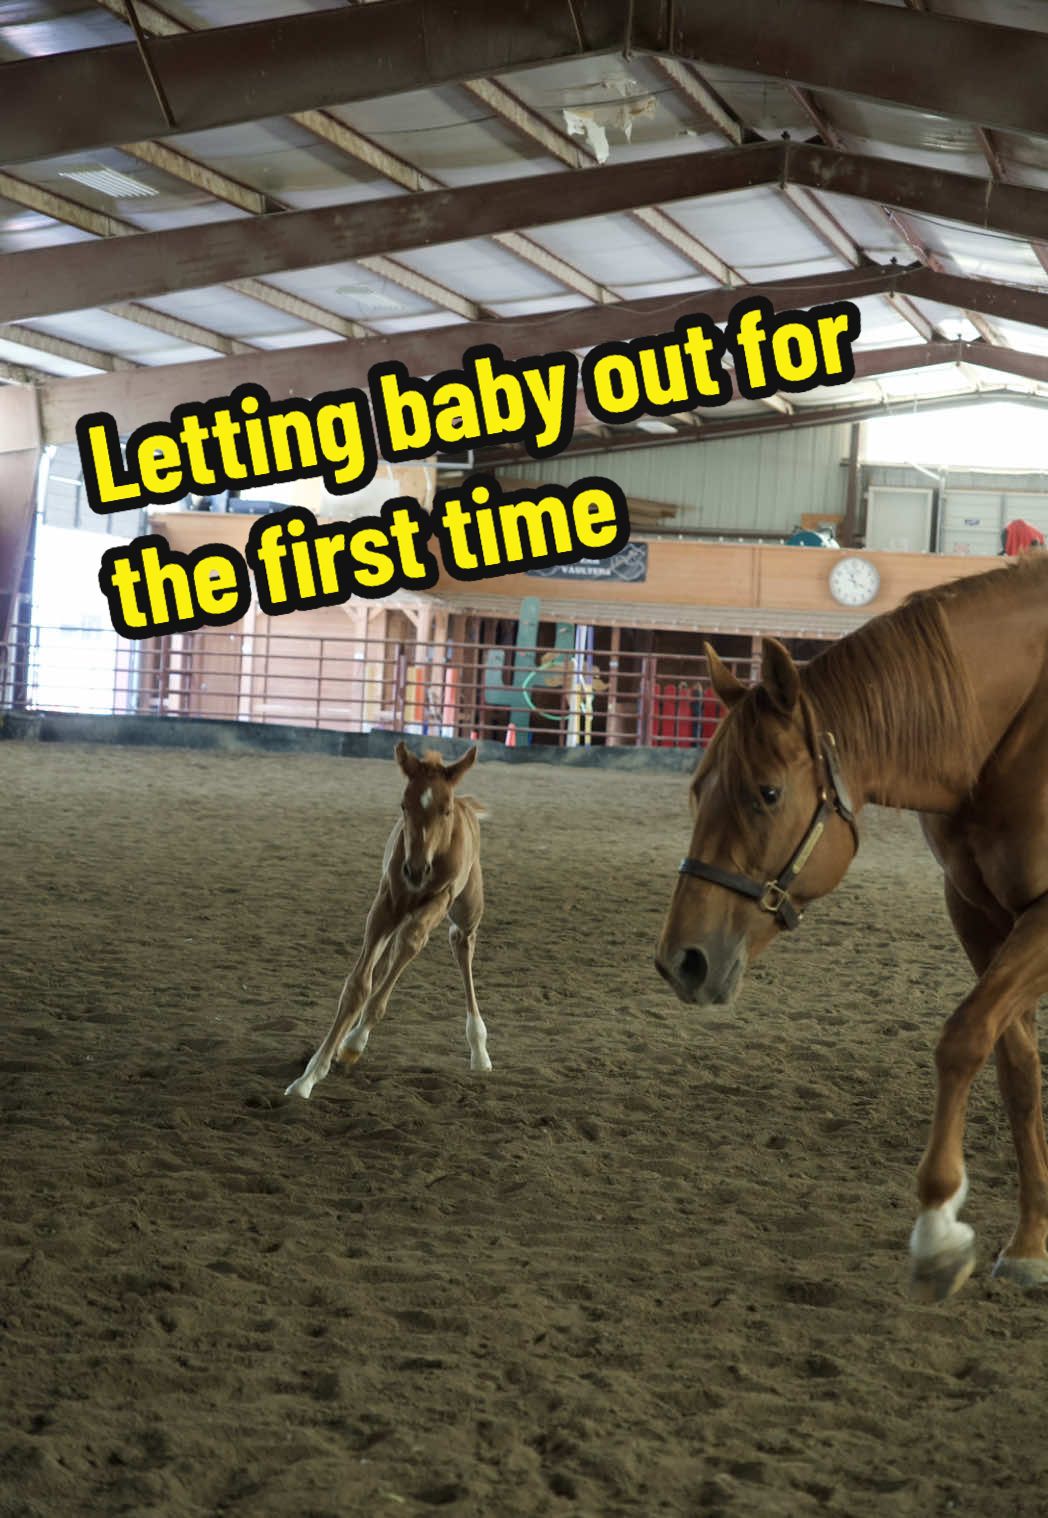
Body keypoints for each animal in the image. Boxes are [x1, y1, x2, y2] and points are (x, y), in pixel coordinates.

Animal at [285, 742, 490, 1100]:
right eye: (404, 805)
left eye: (445, 810)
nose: (417, 870)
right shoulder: (386, 903)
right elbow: (358, 985)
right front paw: (309, 1076)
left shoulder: (439, 899)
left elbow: (411, 942)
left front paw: (353, 1043)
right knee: (392, 955)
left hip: (466, 909)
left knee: (459, 944)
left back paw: (479, 1049)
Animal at [655, 553, 1048, 1301]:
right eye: (695, 789)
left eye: (767, 793)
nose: (682, 961)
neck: (1021, 723)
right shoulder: (978, 913)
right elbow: (1015, 1066)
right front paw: (1031, 1242)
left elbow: (963, 1038)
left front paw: (937, 1230)